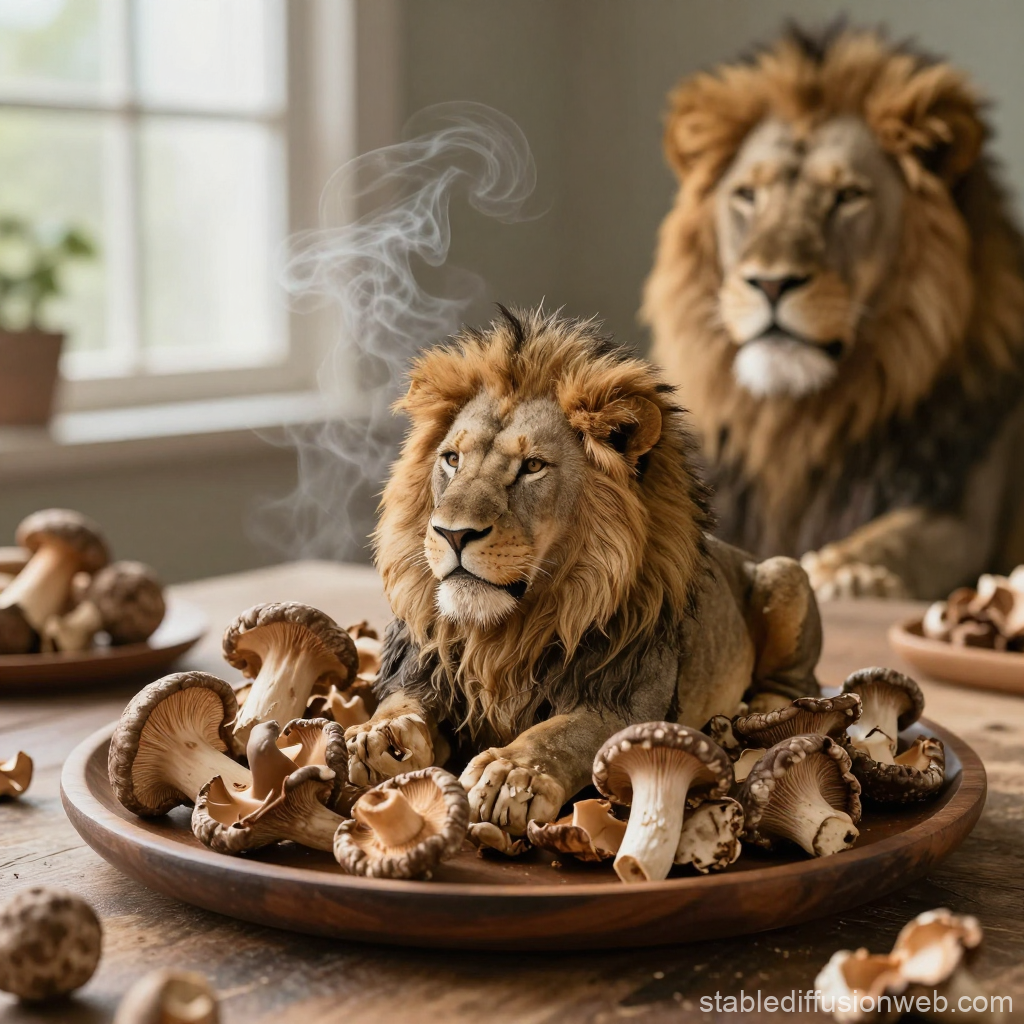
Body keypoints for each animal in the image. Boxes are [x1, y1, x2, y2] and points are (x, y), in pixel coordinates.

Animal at [346, 306, 821, 834]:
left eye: (532, 466)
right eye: (451, 459)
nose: (452, 534)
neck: (504, 634)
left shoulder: (630, 702)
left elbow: (562, 732)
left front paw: (511, 774)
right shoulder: (425, 668)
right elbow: (401, 701)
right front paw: (380, 734)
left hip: (785, 574)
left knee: (800, 684)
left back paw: (763, 715)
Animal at [642, 26, 1024, 601]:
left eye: (848, 196)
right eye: (747, 194)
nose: (771, 282)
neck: (798, 422)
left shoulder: (962, 510)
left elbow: (900, 535)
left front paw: (848, 571)